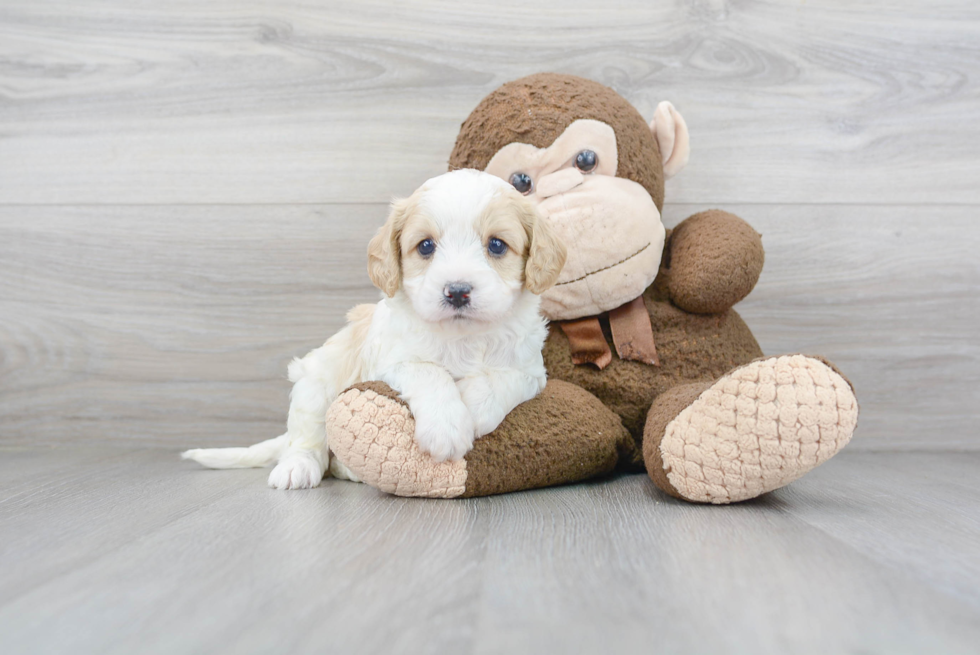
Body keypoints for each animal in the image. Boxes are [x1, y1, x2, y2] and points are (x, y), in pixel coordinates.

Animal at [183, 172, 568, 490]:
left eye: (497, 245)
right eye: (426, 246)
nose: (457, 291)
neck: (464, 337)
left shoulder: (531, 369)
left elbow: (503, 379)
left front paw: (472, 408)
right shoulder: (392, 360)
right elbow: (428, 371)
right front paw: (446, 426)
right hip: (316, 381)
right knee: (306, 439)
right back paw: (297, 468)